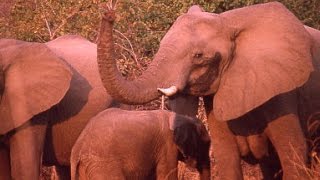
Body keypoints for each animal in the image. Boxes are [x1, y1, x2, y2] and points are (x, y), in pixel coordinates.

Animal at [69, 108, 210, 180]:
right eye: (206, 144)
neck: (182, 117)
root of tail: (78, 148)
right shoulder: (167, 146)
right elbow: (167, 176)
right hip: (103, 164)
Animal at [95, 2, 320, 180]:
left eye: (198, 56)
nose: (109, 13)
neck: (229, 22)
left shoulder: (282, 92)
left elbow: (293, 155)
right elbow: (226, 157)